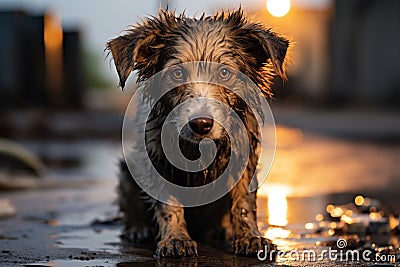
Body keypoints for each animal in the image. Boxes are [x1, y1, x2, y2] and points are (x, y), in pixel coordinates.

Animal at [106, 8, 288, 260]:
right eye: (177, 73)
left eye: (224, 72)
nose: (201, 124)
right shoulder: (156, 155)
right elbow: (168, 203)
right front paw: (175, 238)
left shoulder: (244, 153)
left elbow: (244, 200)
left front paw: (250, 236)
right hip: (128, 170)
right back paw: (138, 229)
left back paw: (221, 229)